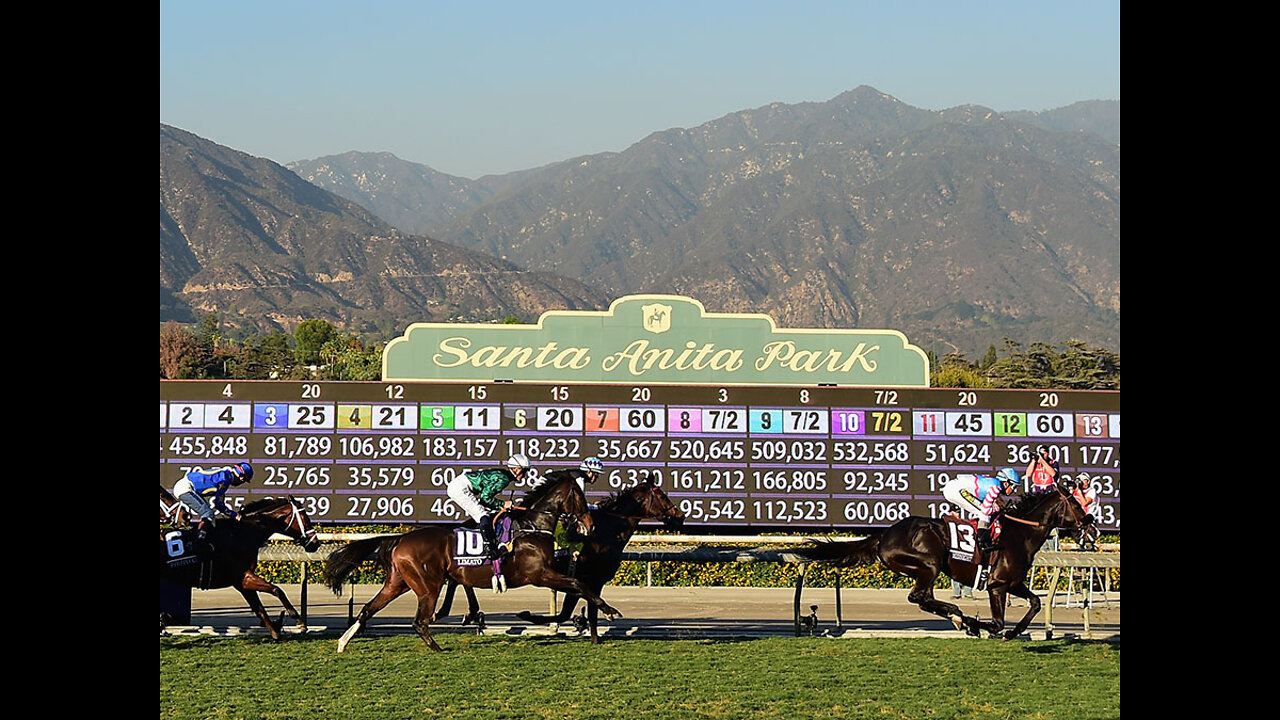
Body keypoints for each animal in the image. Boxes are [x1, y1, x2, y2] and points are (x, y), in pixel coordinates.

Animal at [158, 491, 320, 638]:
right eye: (305, 517)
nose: (315, 543)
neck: (243, 532)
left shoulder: (242, 582)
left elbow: (259, 607)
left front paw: (275, 629)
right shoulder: (243, 577)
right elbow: (277, 590)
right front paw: (298, 620)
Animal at [325, 471, 614, 650]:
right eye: (579, 496)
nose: (590, 525)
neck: (531, 527)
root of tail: (399, 539)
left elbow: (577, 587)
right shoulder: (539, 574)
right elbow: (579, 585)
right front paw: (610, 610)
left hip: (398, 582)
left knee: (368, 608)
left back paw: (343, 642)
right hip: (427, 586)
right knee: (419, 621)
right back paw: (437, 648)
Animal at [440, 476, 686, 638]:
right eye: (661, 494)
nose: (680, 516)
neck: (605, 531)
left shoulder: (582, 580)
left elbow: (572, 611)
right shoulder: (590, 579)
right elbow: (580, 609)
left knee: (458, 580)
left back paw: (467, 613)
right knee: (459, 580)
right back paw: (467, 614)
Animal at [798, 479, 1090, 635]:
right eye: (1075, 504)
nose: (1092, 523)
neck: (1018, 533)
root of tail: (885, 534)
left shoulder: (1013, 583)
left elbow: (1036, 603)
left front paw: (1015, 631)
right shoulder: (997, 585)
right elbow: (996, 623)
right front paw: (978, 625)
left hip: (924, 569)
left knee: (924, 599)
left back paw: (956, 616)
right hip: (929, 564)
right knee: (918, 597)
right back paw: (959, 615)